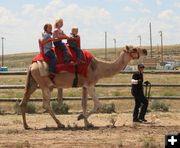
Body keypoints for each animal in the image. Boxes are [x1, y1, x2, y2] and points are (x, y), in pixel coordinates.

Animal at [19, 45, 147, 130]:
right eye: (134, 49)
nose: (145, 50)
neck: (99, 68)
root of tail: (31, 65)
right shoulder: (90, 84)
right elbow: (98, 104)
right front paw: (80, 117)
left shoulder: (84, 86)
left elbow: (84, 103)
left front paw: (87, 123)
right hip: (45, 85)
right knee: (45, 104)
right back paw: (60, 124)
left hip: (33, 83)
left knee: (23, 102)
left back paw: (26, 126)